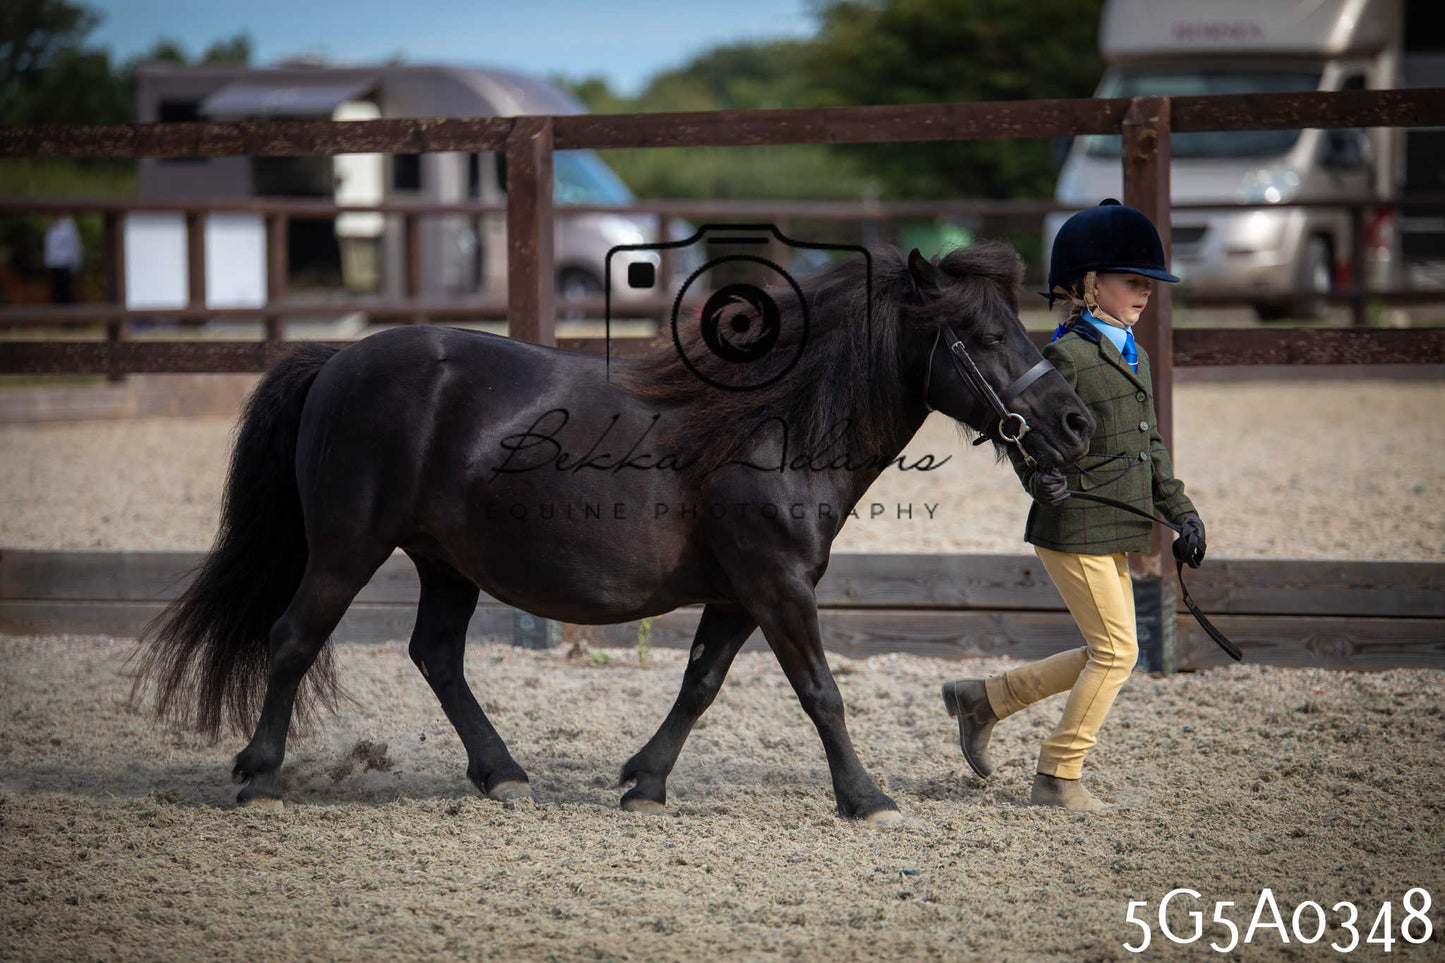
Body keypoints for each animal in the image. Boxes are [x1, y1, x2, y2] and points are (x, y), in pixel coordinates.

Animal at [135, 243, 1093, 823]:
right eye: (984, 334)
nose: (1076, 423)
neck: (773, 426)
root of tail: (336, 359)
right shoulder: (778, 587)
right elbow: (821, 693)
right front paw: (865, 798)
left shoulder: (740, 595)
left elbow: (699, 685)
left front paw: (645, 782)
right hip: (346, 547)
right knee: (293, 637)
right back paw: (261, 775)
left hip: (445, 563)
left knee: (436, 655)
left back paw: (503, 774)